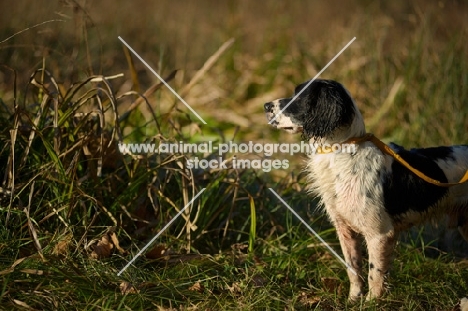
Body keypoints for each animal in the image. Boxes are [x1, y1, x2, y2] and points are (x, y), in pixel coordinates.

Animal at [264, 79, 468, 302]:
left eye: (299, 96)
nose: (266, 106)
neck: (342, 150)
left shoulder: (379, 233)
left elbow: (374, 274)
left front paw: (371, 302)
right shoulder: (344, 229)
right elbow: (353, 268)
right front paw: (353, 299)